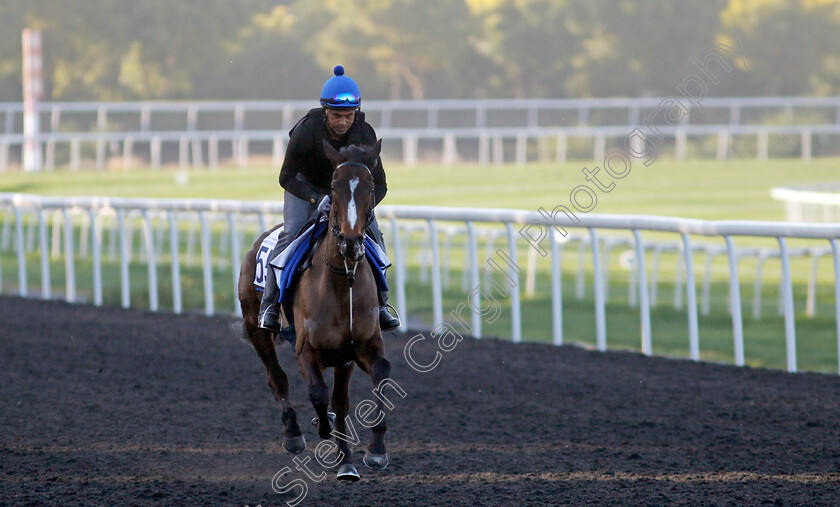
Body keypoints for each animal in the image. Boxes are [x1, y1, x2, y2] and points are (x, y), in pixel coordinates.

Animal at [238, 141, 392, 482]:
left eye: (370, 186)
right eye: (334, 188)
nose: (350, 242)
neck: (341, 282)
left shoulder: (359, 348)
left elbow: (375, 379)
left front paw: (370, 452)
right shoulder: (306, 350)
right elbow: (319, 395)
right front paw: (323, 429)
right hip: (256, 328)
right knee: (277, 379)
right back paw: (293, 434)